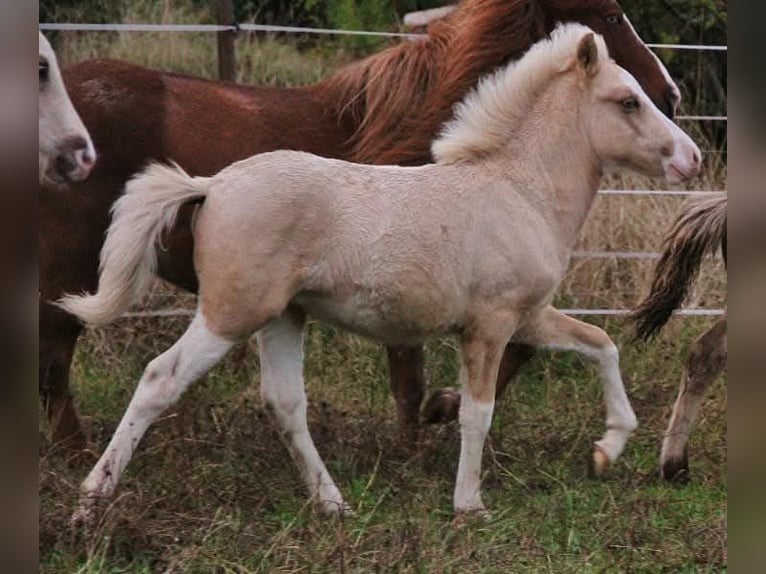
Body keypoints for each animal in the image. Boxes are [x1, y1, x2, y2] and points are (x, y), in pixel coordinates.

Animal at [60, 24, 701, 521]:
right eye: (627, 101)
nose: (691, 158)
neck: (518, 190)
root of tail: (212, 184)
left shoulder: (530, 316)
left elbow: (601, 343)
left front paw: (608, 447)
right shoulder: (490, 325)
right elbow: (477, 412)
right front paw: (469, 505)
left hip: (283, 317)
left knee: (285, 403)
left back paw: (333, 504)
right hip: (230, 313)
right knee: (158, 379)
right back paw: (91, 500)